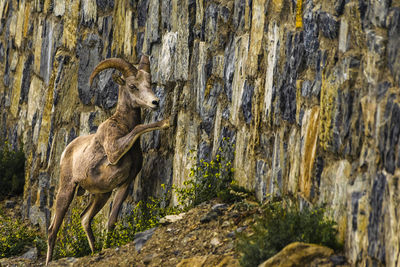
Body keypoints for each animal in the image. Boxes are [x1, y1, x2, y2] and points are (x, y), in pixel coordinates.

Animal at [46, 55, 170, 264]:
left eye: (150, 83)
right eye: (132, 86)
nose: (155, 102)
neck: (121, 124)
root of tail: (66, 151)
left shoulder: (124, 184)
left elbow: (111, 221)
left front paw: (108, 246)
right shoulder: (113, 152)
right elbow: (138, 128)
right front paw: (165, 123)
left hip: (101, 195)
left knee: (85, 219)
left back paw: (95, 251)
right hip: (67, 190)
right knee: (52, 230)